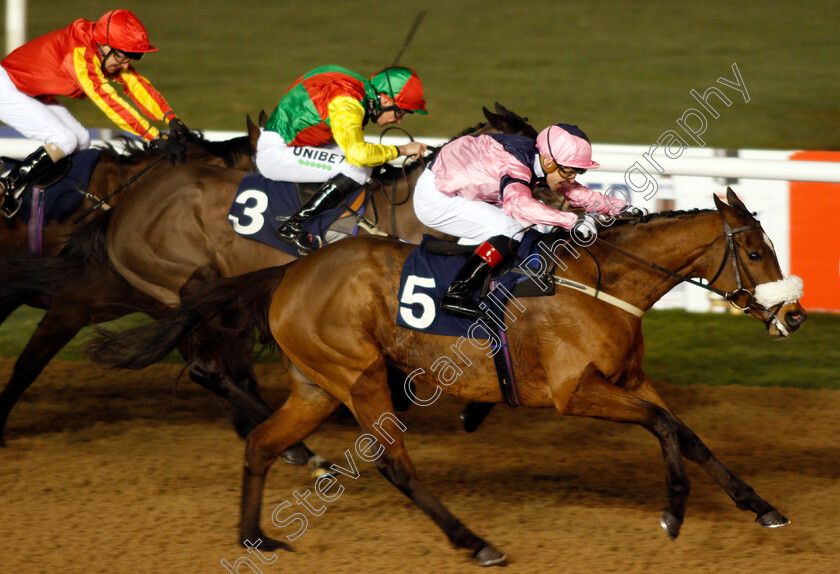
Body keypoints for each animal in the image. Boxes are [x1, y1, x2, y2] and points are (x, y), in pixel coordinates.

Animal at [87, 190, 808, 568]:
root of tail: (291, 270)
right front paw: (674, 512)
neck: (603, 283)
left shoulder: (629, 378)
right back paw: (474, 540)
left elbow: (688, 432)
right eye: (753, 250)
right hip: (359, 376)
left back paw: (253, 536)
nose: (795, 316)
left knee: (262, 443)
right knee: (393, 461)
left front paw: (762, 507)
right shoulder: (575, 393)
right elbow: (664, 429)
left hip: (317, 385)